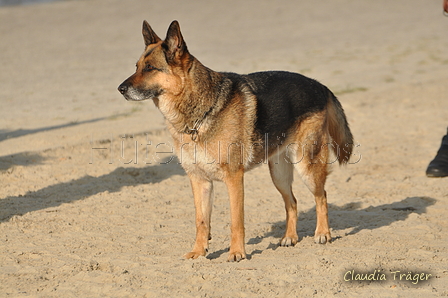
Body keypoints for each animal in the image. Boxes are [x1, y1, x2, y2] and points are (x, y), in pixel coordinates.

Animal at [119, 20, 354, 260]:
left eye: (150, 68)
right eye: (137, 66)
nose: (120, 89)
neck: (200, 112)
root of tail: (319, 85)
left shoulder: (234, 179)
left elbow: (236, 221)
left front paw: (237, 253)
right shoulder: (199, 181)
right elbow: (201, 221)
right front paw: (198, 251)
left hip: (307, 167)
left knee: (321, 196)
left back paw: (323, 233)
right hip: (278, 175)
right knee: (292, 202)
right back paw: (290, 237)